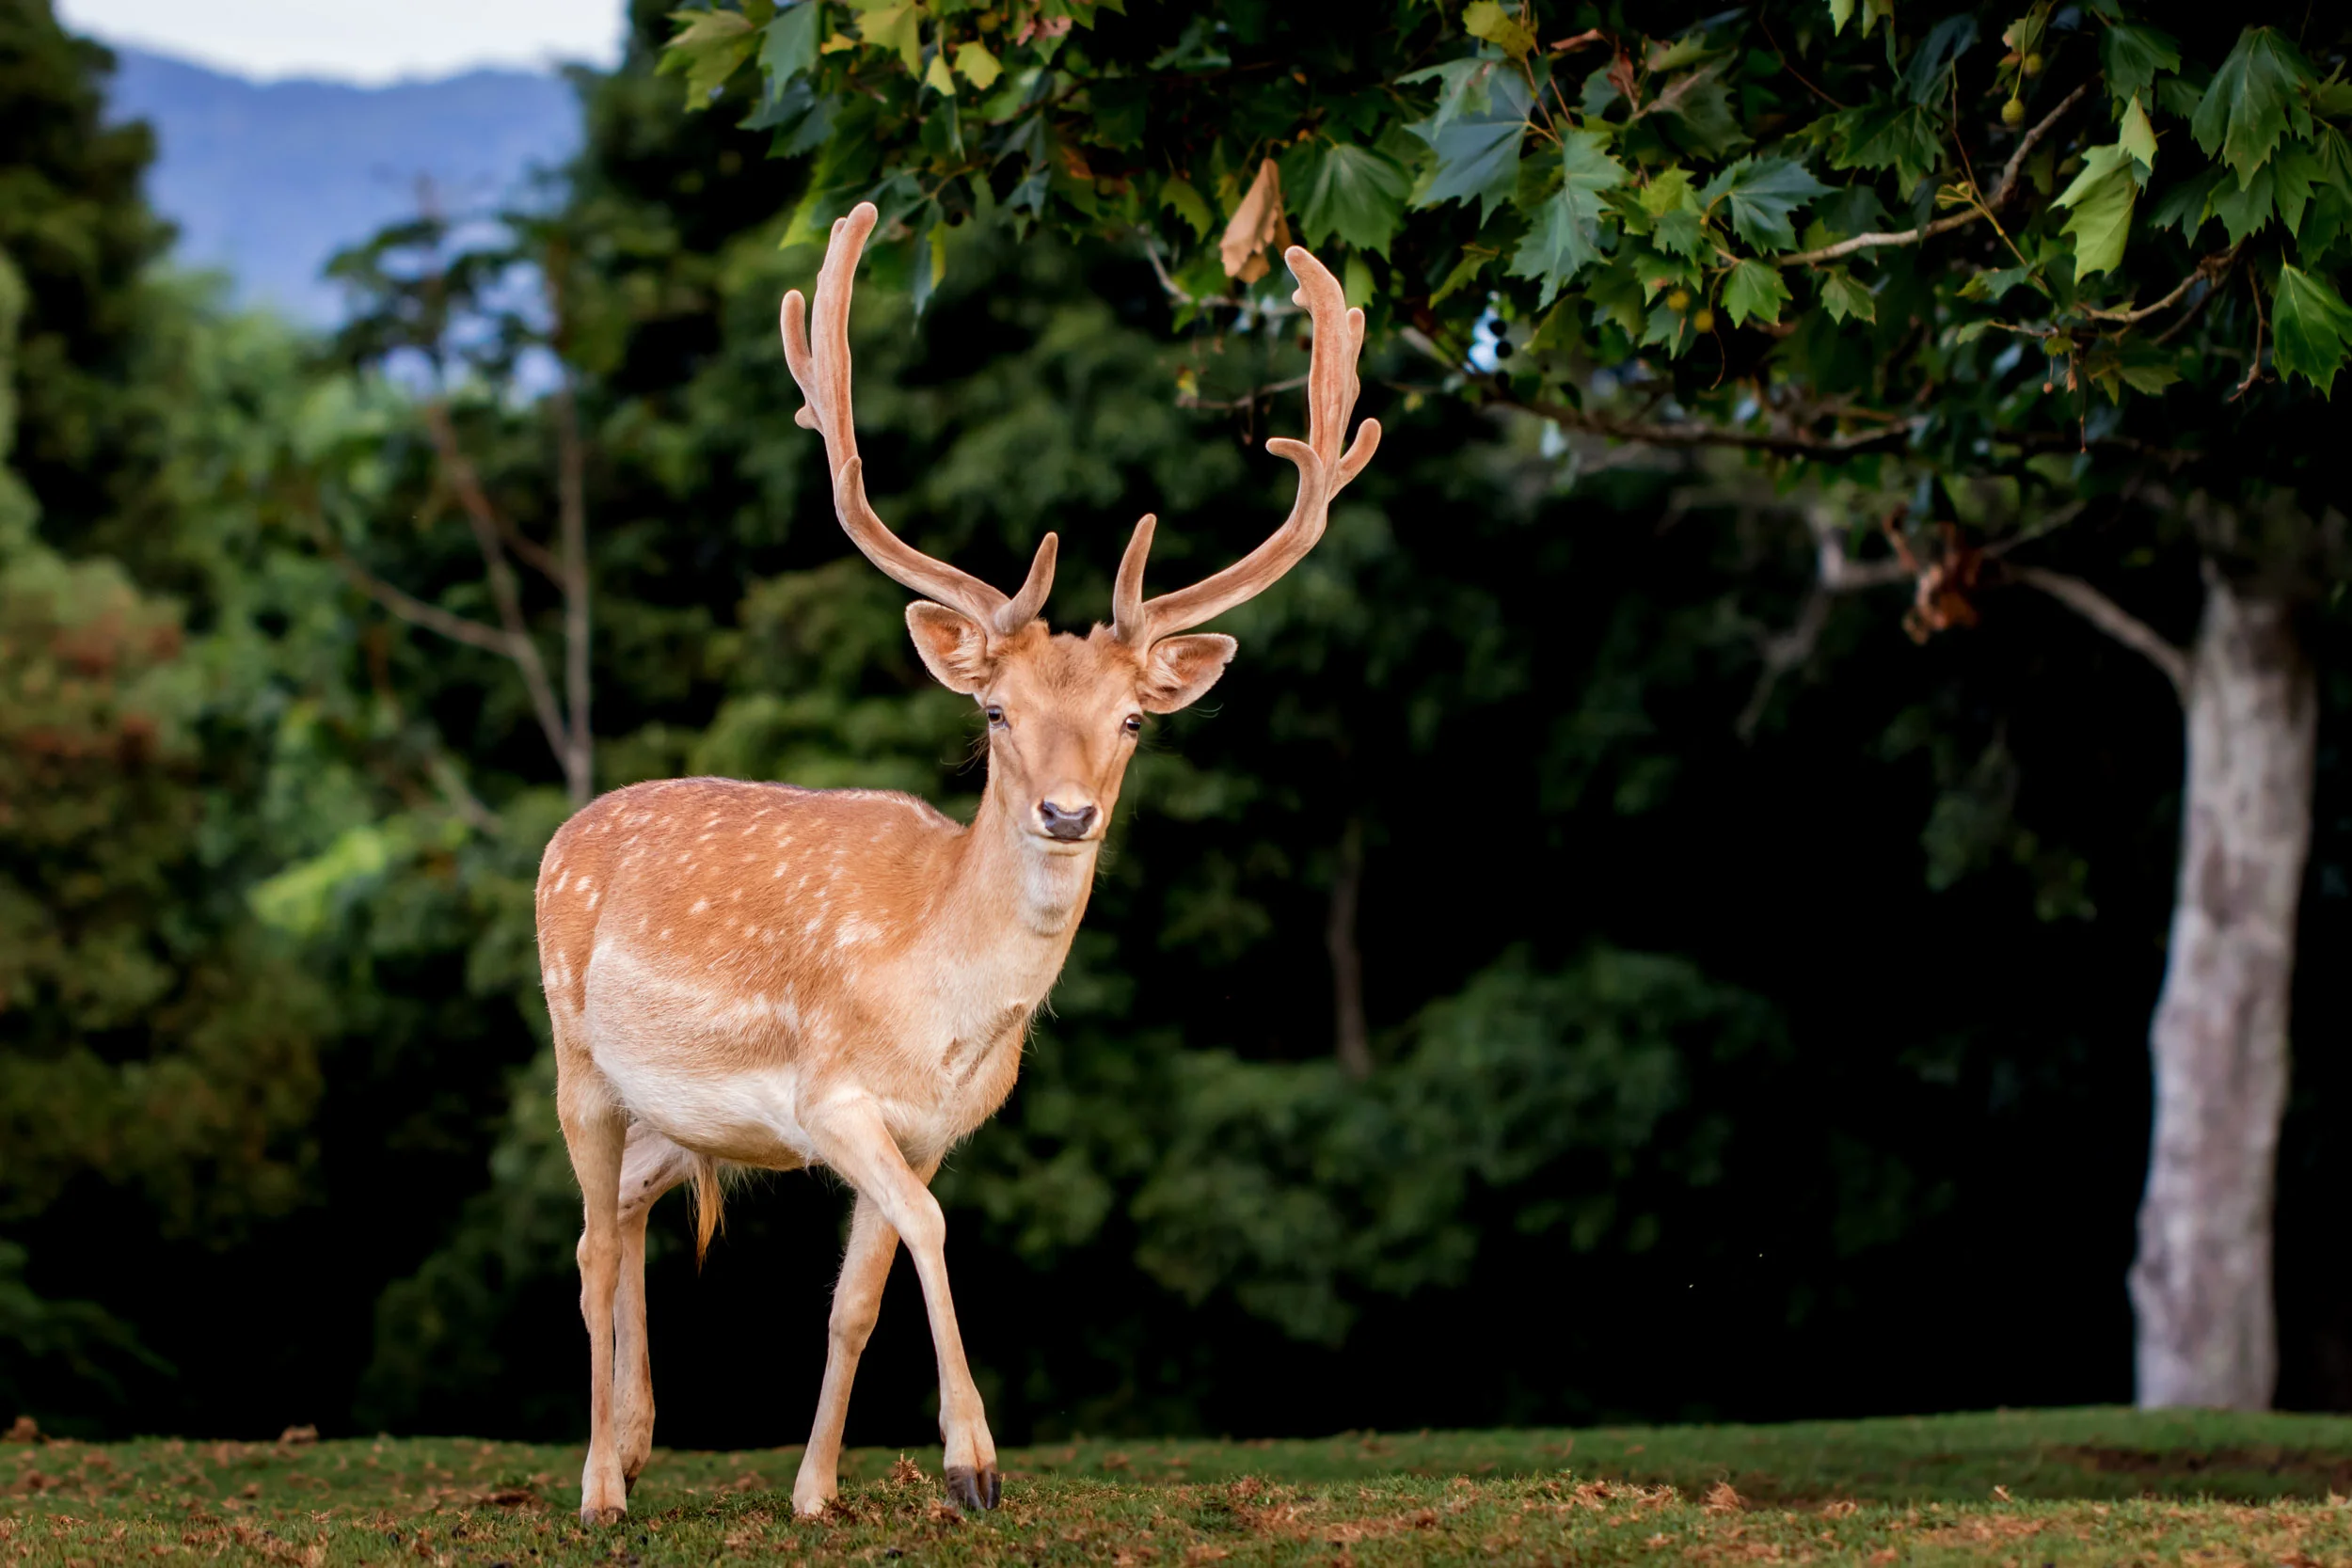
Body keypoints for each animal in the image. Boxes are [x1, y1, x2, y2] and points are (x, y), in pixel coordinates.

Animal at [532, 200, 1377, 1525]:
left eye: (1133, 720)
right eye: (993, 712)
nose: (1068, 812)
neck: (944, 1013)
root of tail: (565, 835)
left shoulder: (932, 1124)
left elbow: (855, 1296)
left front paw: (815, 1490)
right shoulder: (831, 1095)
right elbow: (928, 1228)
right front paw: (973, 1462)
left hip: (677, 1118)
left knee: (622, 1219)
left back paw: (634, 1440)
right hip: (576, 1054)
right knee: (585, 1245)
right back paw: (599, 1489)